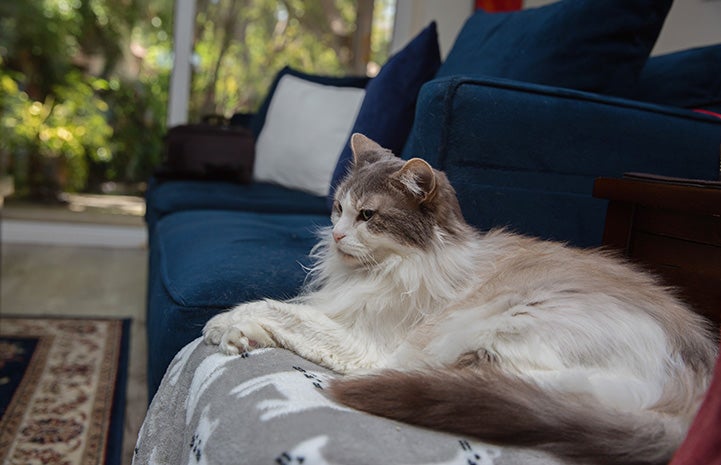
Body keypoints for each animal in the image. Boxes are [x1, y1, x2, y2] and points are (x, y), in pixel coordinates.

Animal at [204, 132, 720, 462]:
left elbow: (281, 310)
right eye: (337, 209)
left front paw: (224, 326)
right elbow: (289, 310)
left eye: (368, 216)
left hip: (508, 329)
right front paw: (240, 335)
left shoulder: (365, 340)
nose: (335, 235)